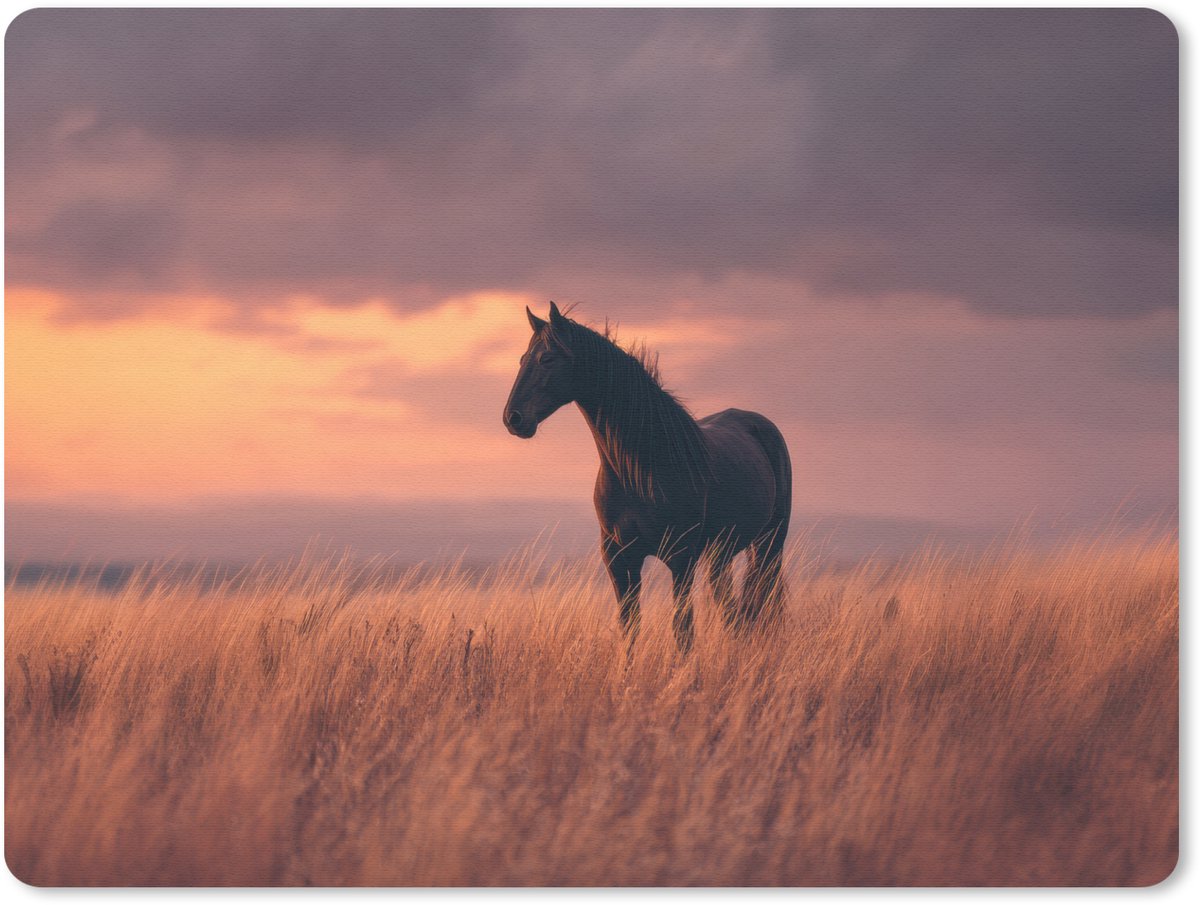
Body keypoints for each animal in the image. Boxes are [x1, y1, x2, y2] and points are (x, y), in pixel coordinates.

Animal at [503, 302, 792, 653]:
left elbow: (683, 629)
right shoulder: (619, 558)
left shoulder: (681, 558)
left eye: (547, 359)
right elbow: (630, 627)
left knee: (760, 600)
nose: (513, 418)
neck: (643, 469)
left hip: (769, 544)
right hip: (720, 553)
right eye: (522, 359)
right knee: (731, 609)